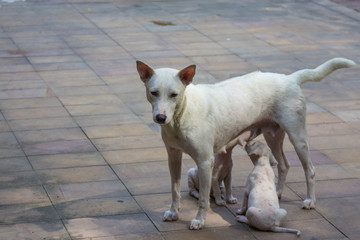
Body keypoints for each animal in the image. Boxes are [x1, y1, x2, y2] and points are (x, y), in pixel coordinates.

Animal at [136, 56, 356, 229]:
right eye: (154, 92)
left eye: (174, 94)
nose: (161, 117)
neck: (182, 113)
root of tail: (290, 78)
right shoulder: (173, 157)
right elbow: (174, 190)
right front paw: (173, 213)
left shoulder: (205, 162)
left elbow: (204, 199)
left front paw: (199, 221)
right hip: (273, 136)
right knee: (284, 164)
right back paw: (277, 192)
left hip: (298, 136)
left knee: (309, 169)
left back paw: (310, 201)